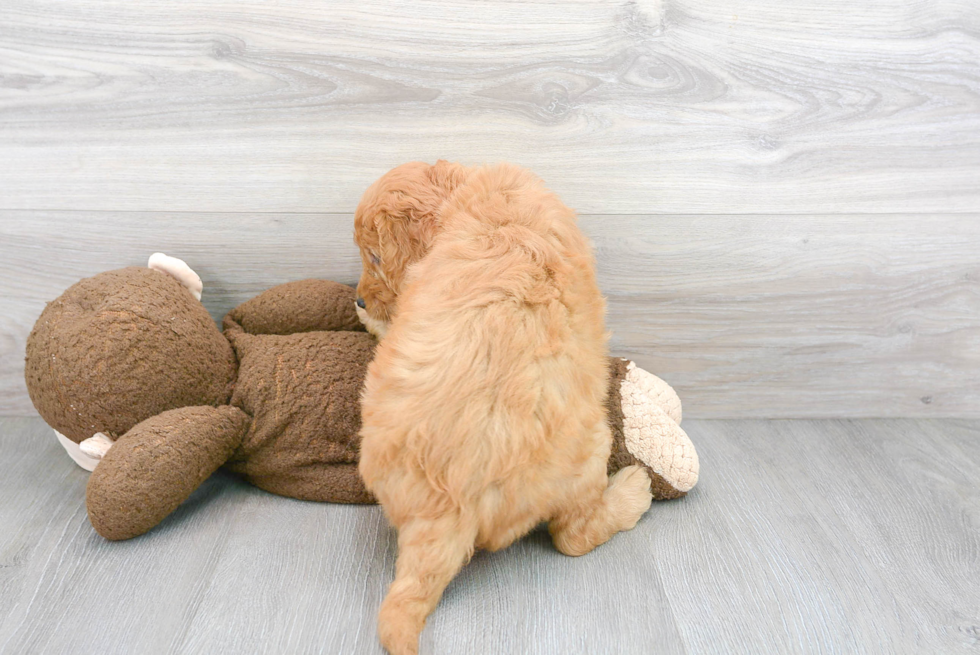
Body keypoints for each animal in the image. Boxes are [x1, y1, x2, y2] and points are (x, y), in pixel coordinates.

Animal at [352, 160, 652, 655]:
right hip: (592, 446)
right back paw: (633, 491)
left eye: (374, 257)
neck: (467, 193)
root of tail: (447, 504)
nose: (358, 299)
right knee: (573, 536)